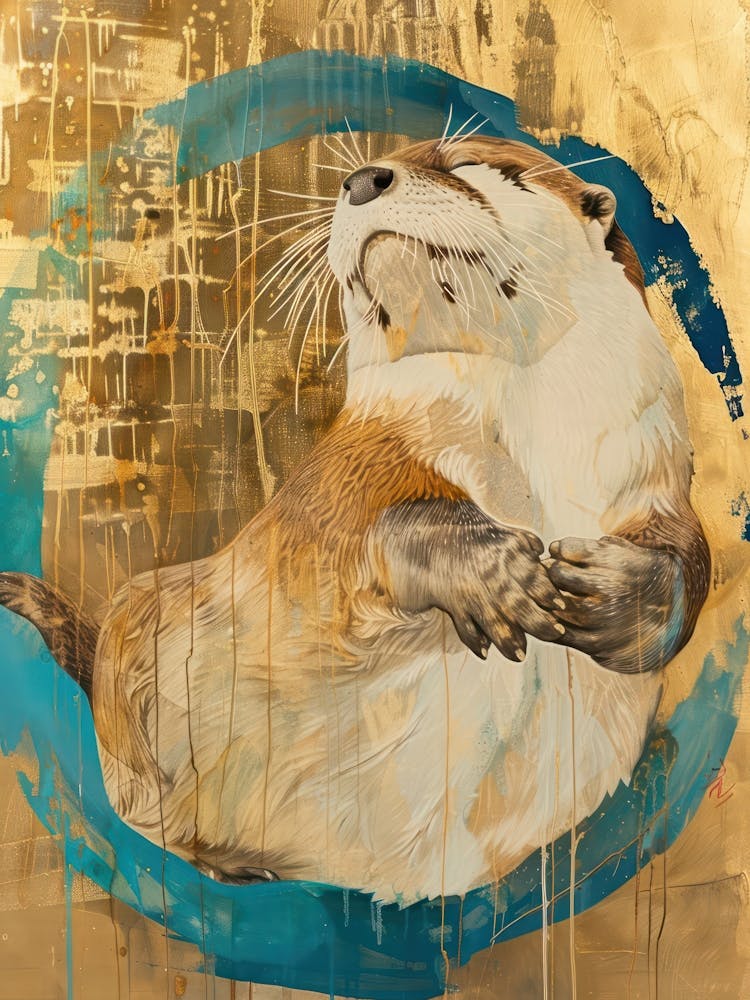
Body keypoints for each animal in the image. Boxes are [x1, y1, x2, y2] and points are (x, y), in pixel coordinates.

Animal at [0, 135, 709, 904]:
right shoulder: (350, 466)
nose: (363, 177)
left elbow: (687, 554)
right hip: (139, 623)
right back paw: (229, 862)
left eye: (467, 163)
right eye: (366, 170)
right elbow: (349, 529)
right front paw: (493, 573)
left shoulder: (653, 465)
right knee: (144, 813)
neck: (531, 439)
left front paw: (616, 595)